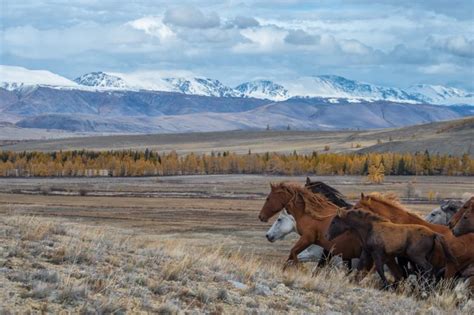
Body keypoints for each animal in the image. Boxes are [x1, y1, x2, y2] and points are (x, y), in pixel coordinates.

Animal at [326, 209, 456, 290]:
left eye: (334, 222)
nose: (326, 236)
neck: (370, 228)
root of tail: (433, 234)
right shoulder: (367, 253)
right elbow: (359, 266)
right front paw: (350, 280)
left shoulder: (377, 253)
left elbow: (379, 269)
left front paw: (387, 286)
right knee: (426, 271)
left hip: (416, 256)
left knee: (428, 269)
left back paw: (423, 287)